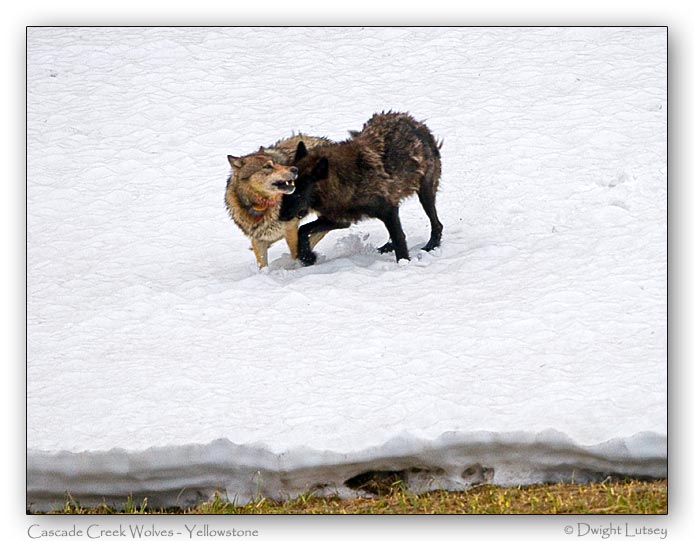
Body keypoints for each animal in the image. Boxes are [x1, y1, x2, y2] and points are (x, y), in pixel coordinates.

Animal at [224, 135, 330, 268]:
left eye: (276, 163)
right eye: (267, 166)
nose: (295, 169)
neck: (262, 207)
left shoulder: (290, 229)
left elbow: (295, 251)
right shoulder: (258, 239)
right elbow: (262, 265)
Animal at [288, 112, 443, 266]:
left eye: (300, 191)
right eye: (287, 186)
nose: (283, 216)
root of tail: (417, 123)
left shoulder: (388, 210)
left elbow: (399, 239)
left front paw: (404, 263)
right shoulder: (339, 220)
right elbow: (302, 230)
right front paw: (306, 257)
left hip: (425, 192)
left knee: (437, 224)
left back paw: (431, 246)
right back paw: (386, 248)